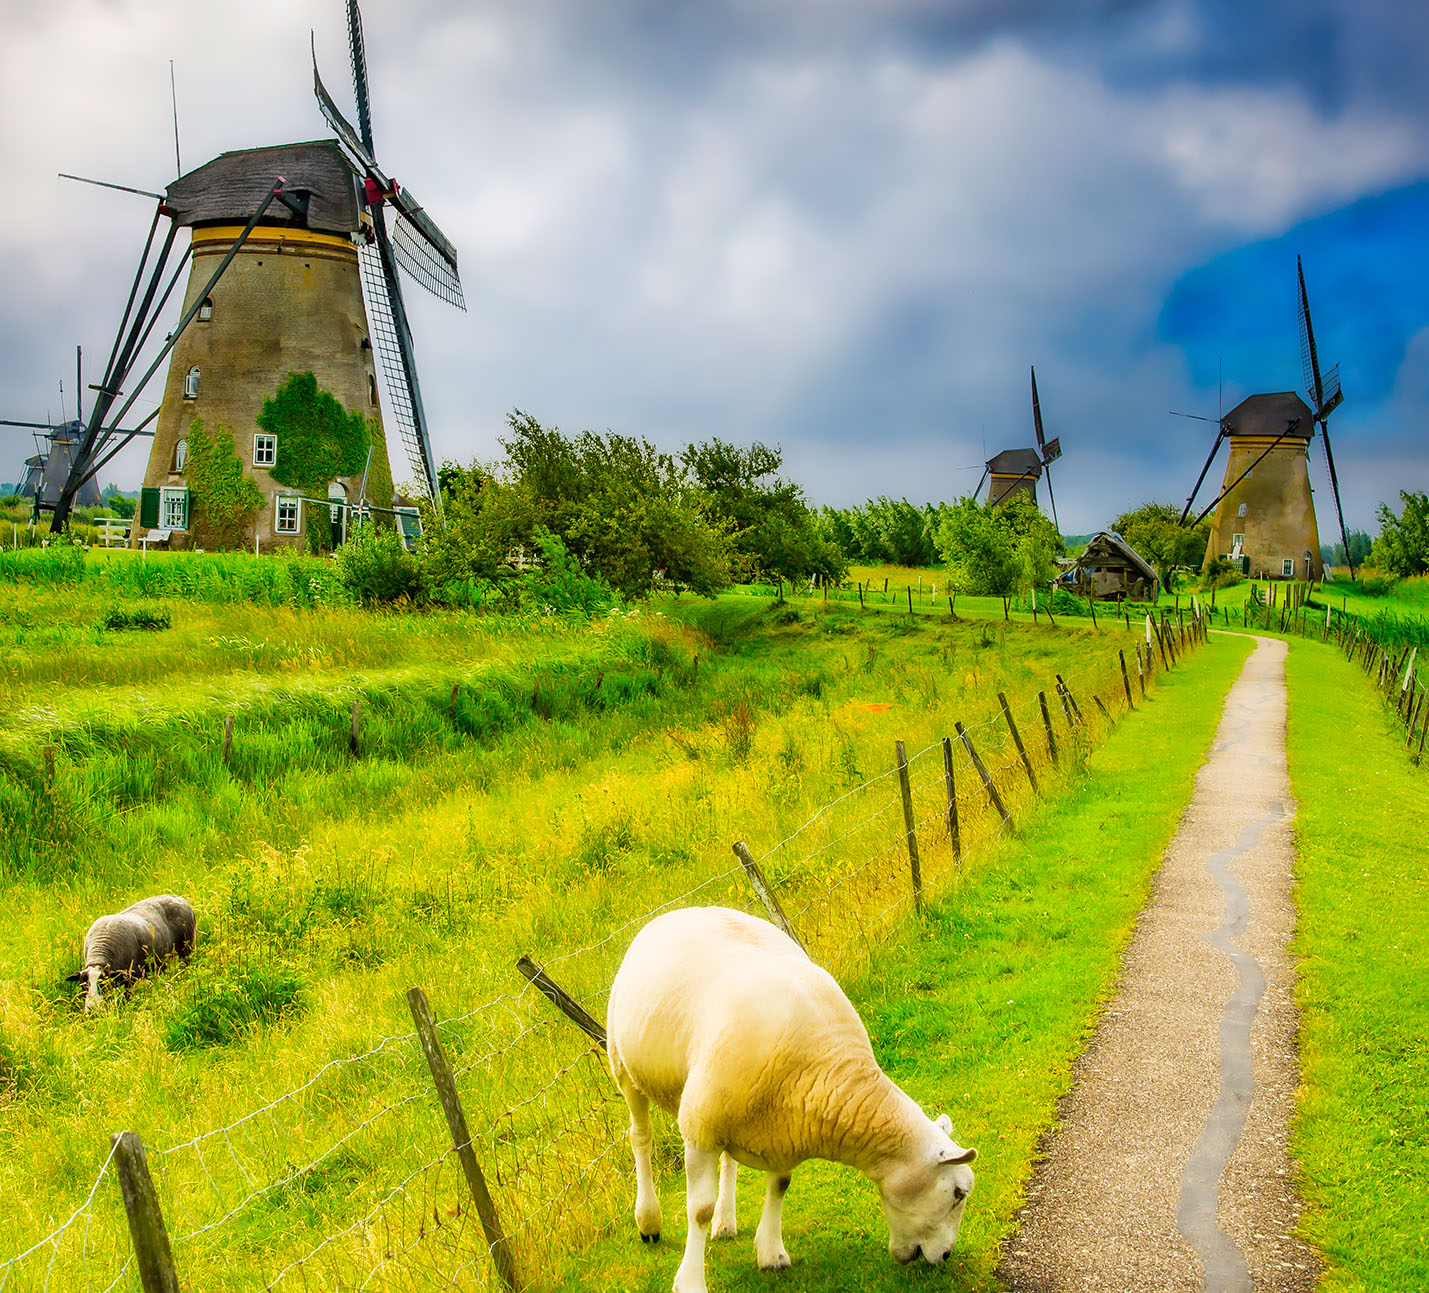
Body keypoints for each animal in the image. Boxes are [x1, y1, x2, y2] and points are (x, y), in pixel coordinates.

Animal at [67, 897, 198, 1011]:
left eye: (103, 984)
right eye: (83, 985)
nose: (93, 1009)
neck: (99, 954)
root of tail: (179, 898)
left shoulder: (129, 980)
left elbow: (126, 998)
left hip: (187, 947)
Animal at [608, 908, 977, 1291]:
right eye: (958, 1194)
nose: (946, 1256)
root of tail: (683, 909)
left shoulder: (784, 1128)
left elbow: (780, 1185)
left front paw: (771, 1253)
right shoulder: (701, 1128)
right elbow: (699, 1210)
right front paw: (692, 1281)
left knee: (727, 1160)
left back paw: (725, 1221)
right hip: (624, 1066)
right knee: (641, 1138)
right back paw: (649, 1221)